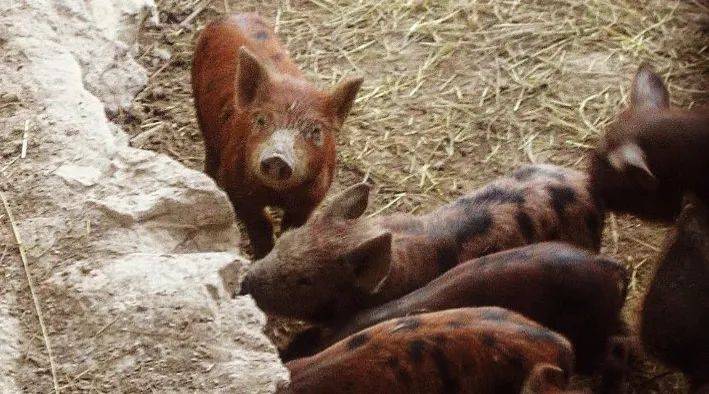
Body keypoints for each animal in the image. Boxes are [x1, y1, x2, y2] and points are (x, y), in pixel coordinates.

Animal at [191, 13, 362, 258]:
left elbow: (292, 227)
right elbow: (261, 225)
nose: (277, 158)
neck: (277, 194)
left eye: (315, 130)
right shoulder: (237, 185)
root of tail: (233, 15)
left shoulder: (313, 196)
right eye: (261, 120)